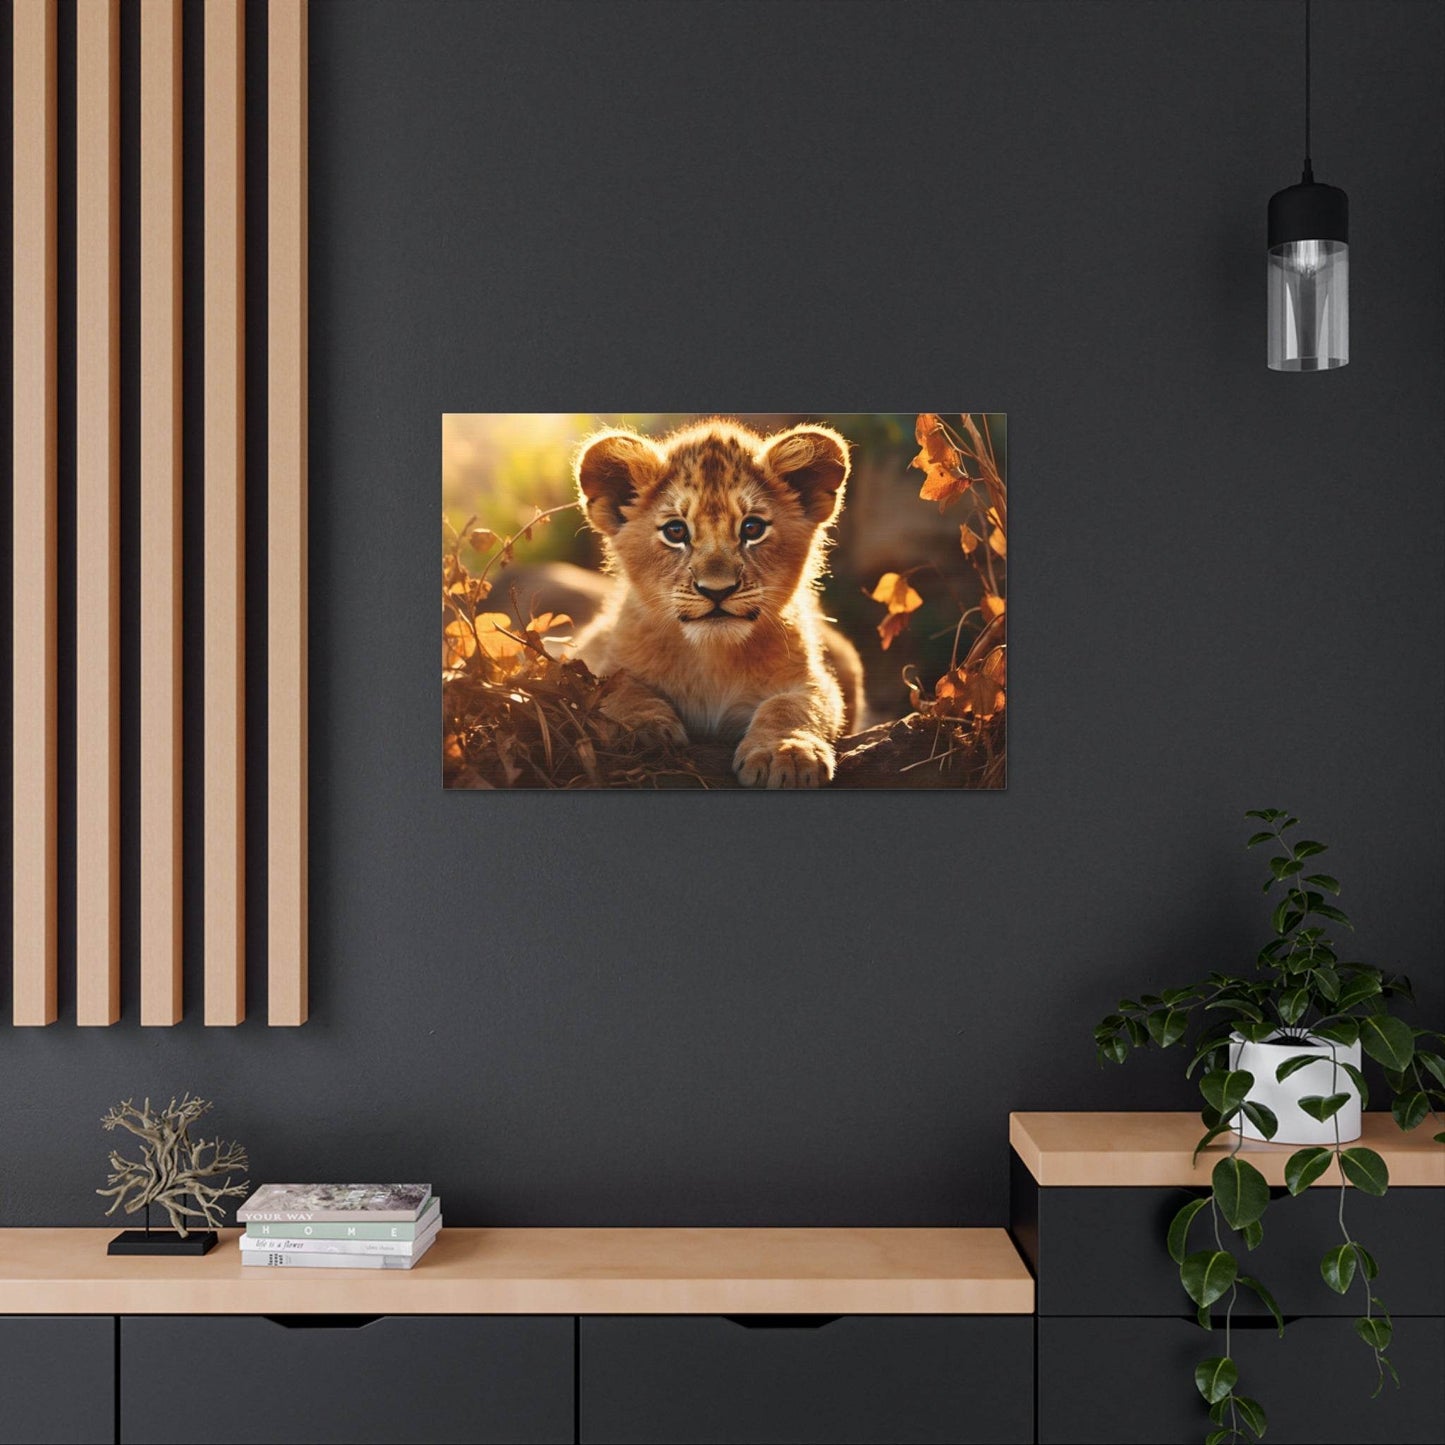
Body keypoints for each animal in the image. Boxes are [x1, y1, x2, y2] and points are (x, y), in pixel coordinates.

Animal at [571, 419, 864, 788]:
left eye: (752, 528)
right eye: (675, 531)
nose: (716, 590)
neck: (712, 658)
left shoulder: (811, 678)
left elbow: (794, 705)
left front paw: (786, 752)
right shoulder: (595, 655)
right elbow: (617, 686)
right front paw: (640, 728)